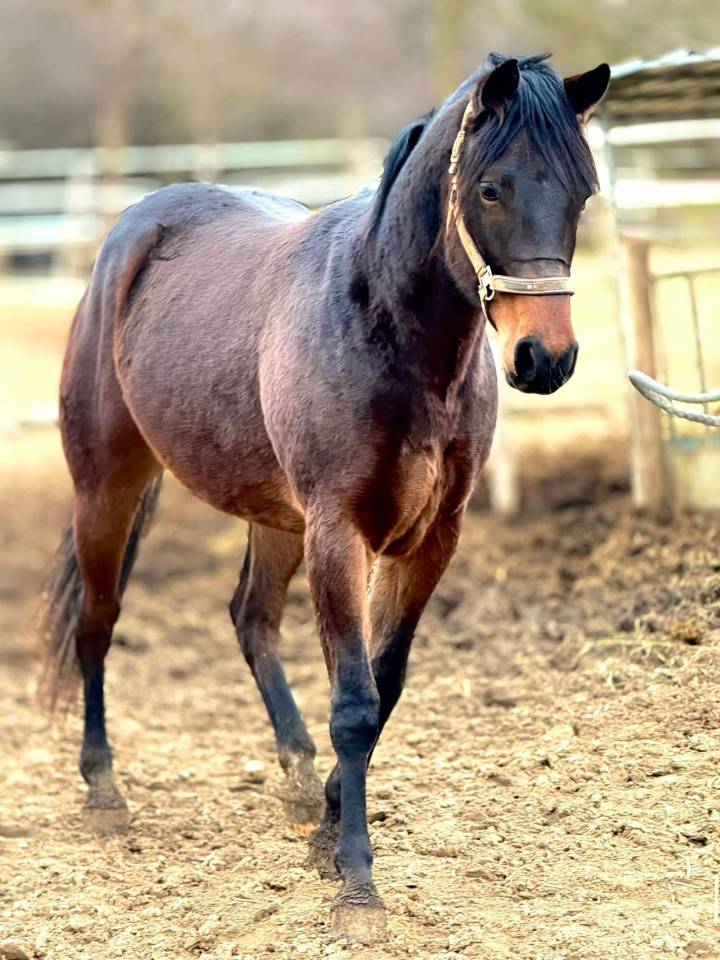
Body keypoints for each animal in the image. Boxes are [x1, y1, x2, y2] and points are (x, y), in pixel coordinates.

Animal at [40, 52, 609, 942]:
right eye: (492, 189)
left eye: (583, 190)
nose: (543, 358)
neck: (389, 332)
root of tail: (134, 233)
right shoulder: (340, 535)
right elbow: (353, 702)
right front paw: (357, 884)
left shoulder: (428, 541)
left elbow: (384, 691)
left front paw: (327, 837)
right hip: (108, 485)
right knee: (98, 623)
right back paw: (104, 792)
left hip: (275, 517)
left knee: (249, 620)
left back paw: (300, 779)